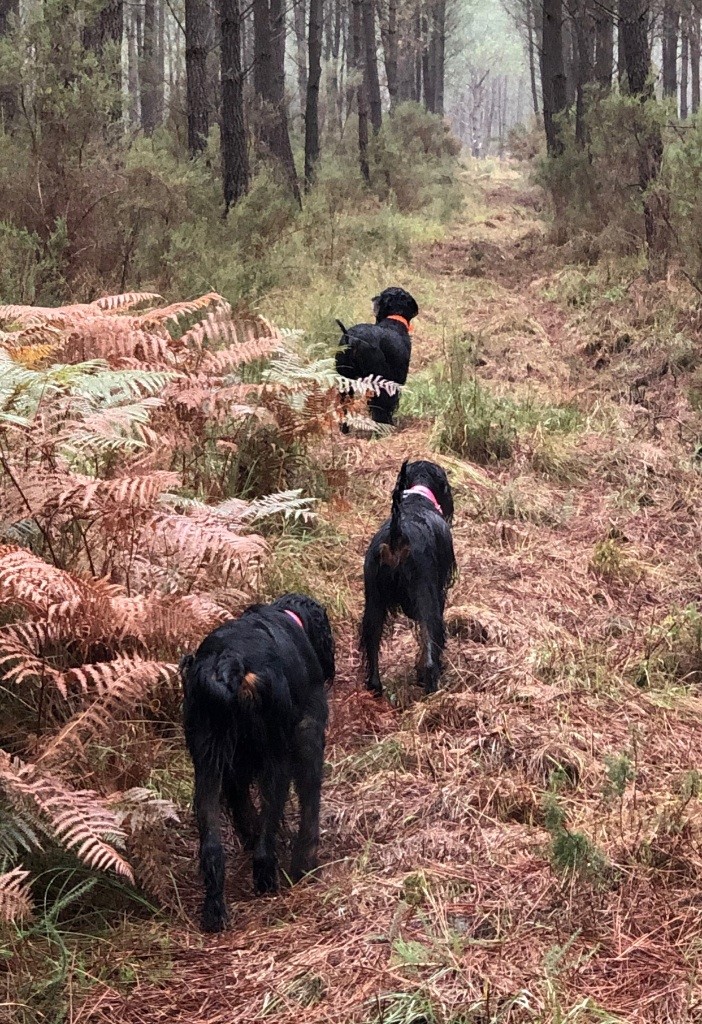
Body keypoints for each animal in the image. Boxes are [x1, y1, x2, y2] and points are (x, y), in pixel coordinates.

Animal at [181, 589, 335, 933]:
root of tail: (230, 662)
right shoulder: (308, 730)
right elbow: (309, 802)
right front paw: (305, 862)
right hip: (276, 756)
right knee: (269, 826)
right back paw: (267, 880)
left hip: (207, 765)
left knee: (212, 846)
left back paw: (214, 911)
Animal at [337, 286, 421, 430]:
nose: (373, 299)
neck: (393, 320)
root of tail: (352, 339)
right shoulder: (395, 379)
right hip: (378, 378)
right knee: (379, 405)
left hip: (345, 380)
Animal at [362, 462, 456, 696]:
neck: (418, 496)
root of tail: (397, 536)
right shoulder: (438, 593)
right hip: (426, 598)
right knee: (431, 643)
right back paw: (431, 685)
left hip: (374, 602)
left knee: (371, 641)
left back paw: (375, 685)